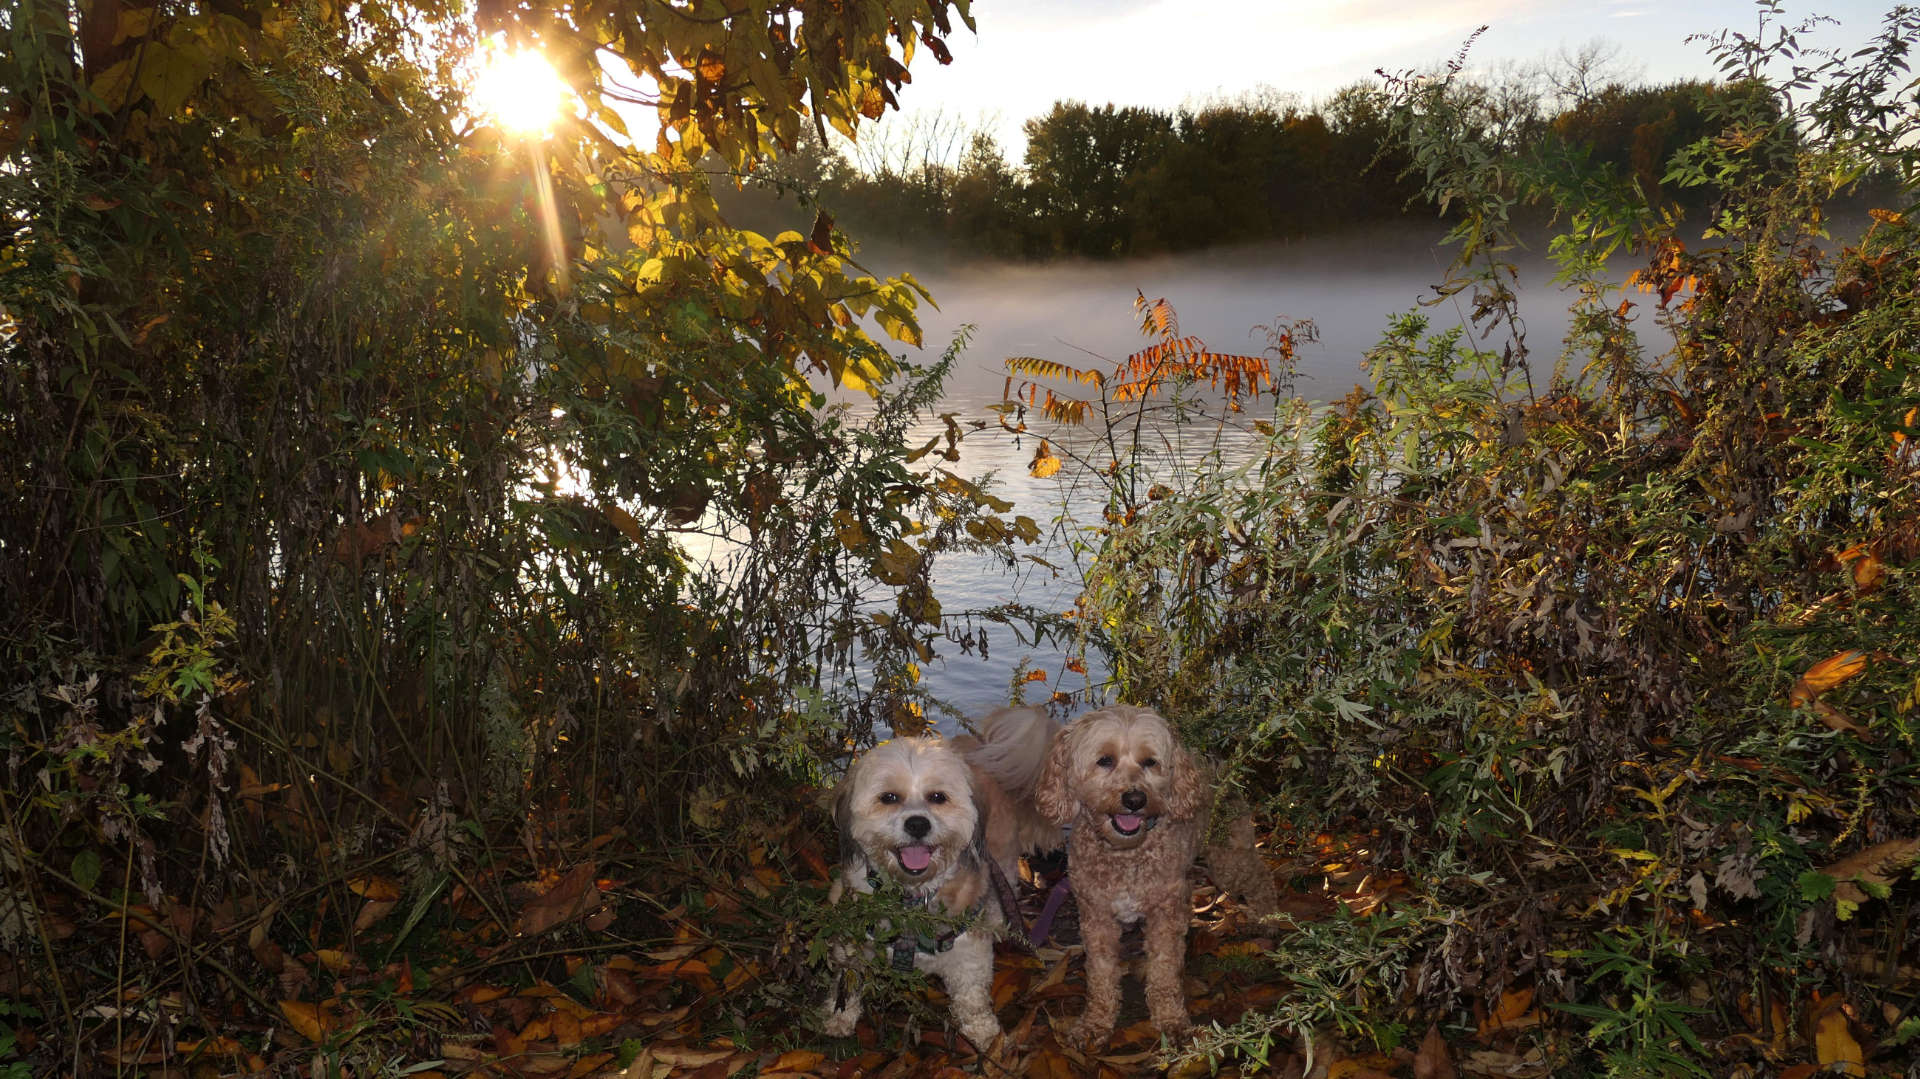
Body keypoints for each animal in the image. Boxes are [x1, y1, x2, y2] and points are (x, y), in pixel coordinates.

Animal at [817, 702, 1059, 1044]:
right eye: (888, 797)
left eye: (937, 797)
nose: (918, 824)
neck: (912, 898)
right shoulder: (850, 939)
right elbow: (847, 981)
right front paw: (839, 1016)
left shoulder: (968, 950)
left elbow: (971, 997)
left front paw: (984, 1033)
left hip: (1003, 860)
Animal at [1036, 702, 1198, 1044]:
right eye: (1105, 760)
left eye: (1150, 762)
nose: (1135, 799)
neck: (1126, 854)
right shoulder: (1096, 918)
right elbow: (1101, 973)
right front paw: (1096, 1022)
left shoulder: (1164, 917)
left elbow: (1164, 969)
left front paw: (1171, 1019)